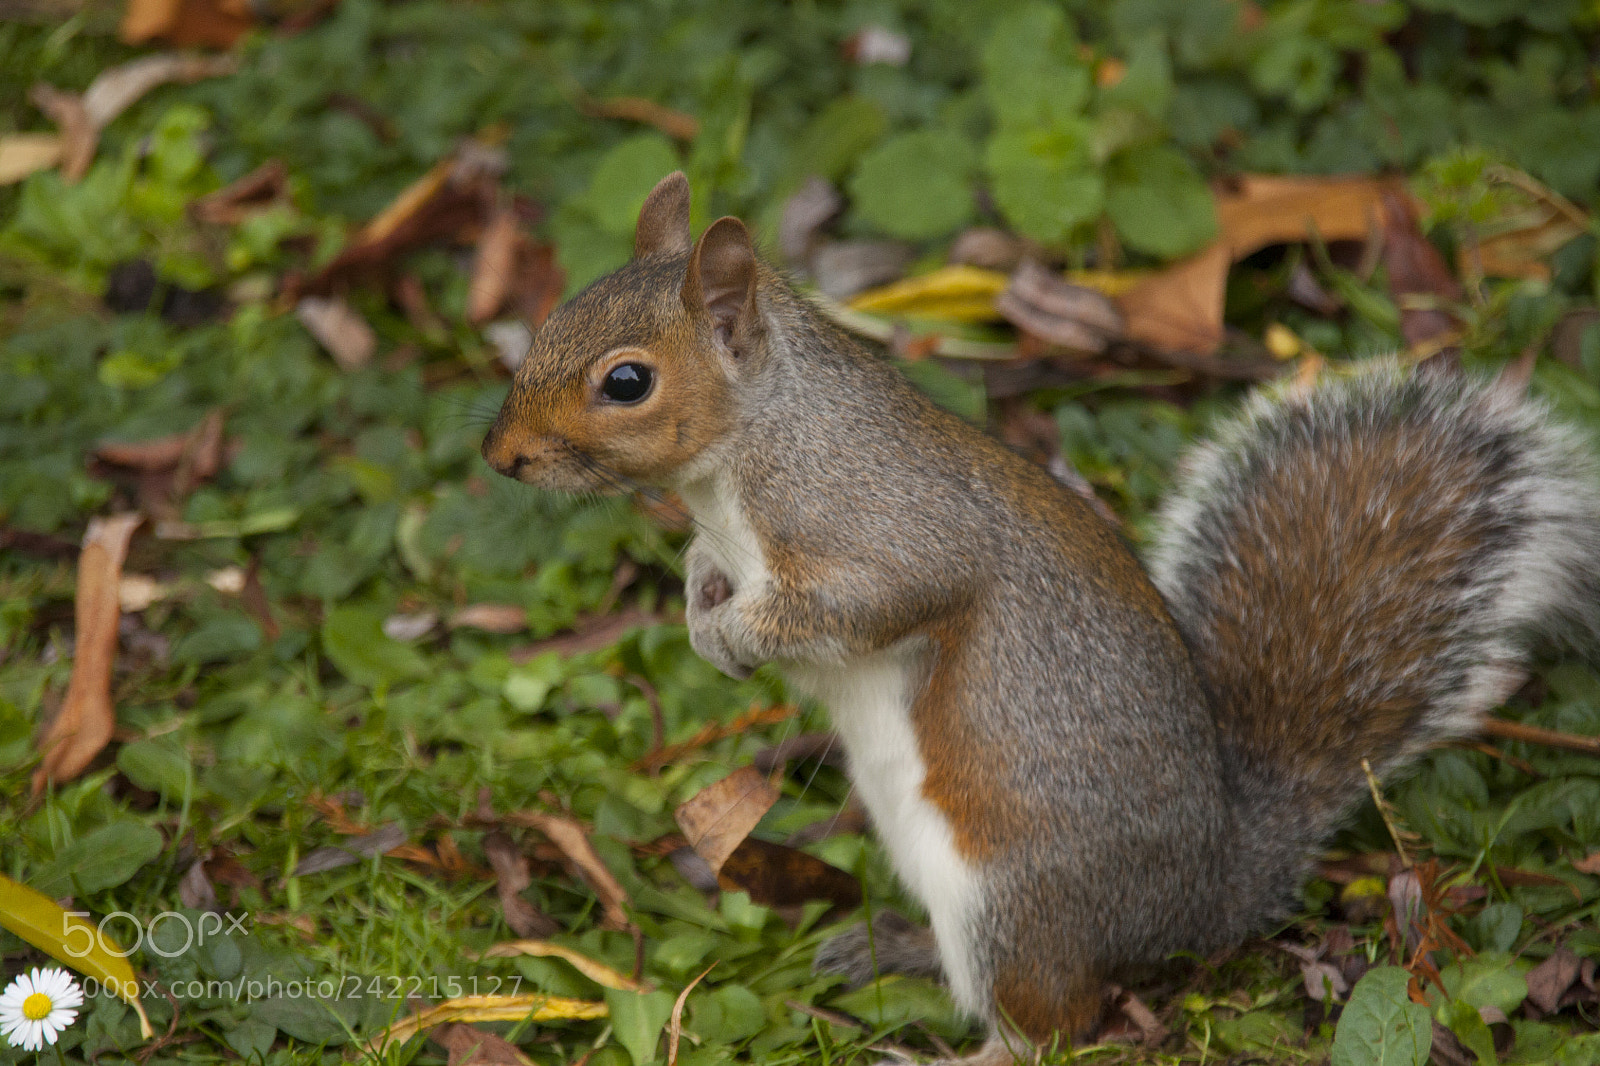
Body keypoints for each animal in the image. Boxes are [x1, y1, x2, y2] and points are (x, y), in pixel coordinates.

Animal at [482, 172, 1600, 1061]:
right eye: (550, 322)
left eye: (627, 381)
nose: (501, 457)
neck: (746, 454)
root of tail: (1205, 896)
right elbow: (705, 568)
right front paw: (697, 605)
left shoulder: (881, 529)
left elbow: (865, 602)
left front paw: (733, 635)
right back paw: (890, 950)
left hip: (1014, 904)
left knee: (1053, 1025)